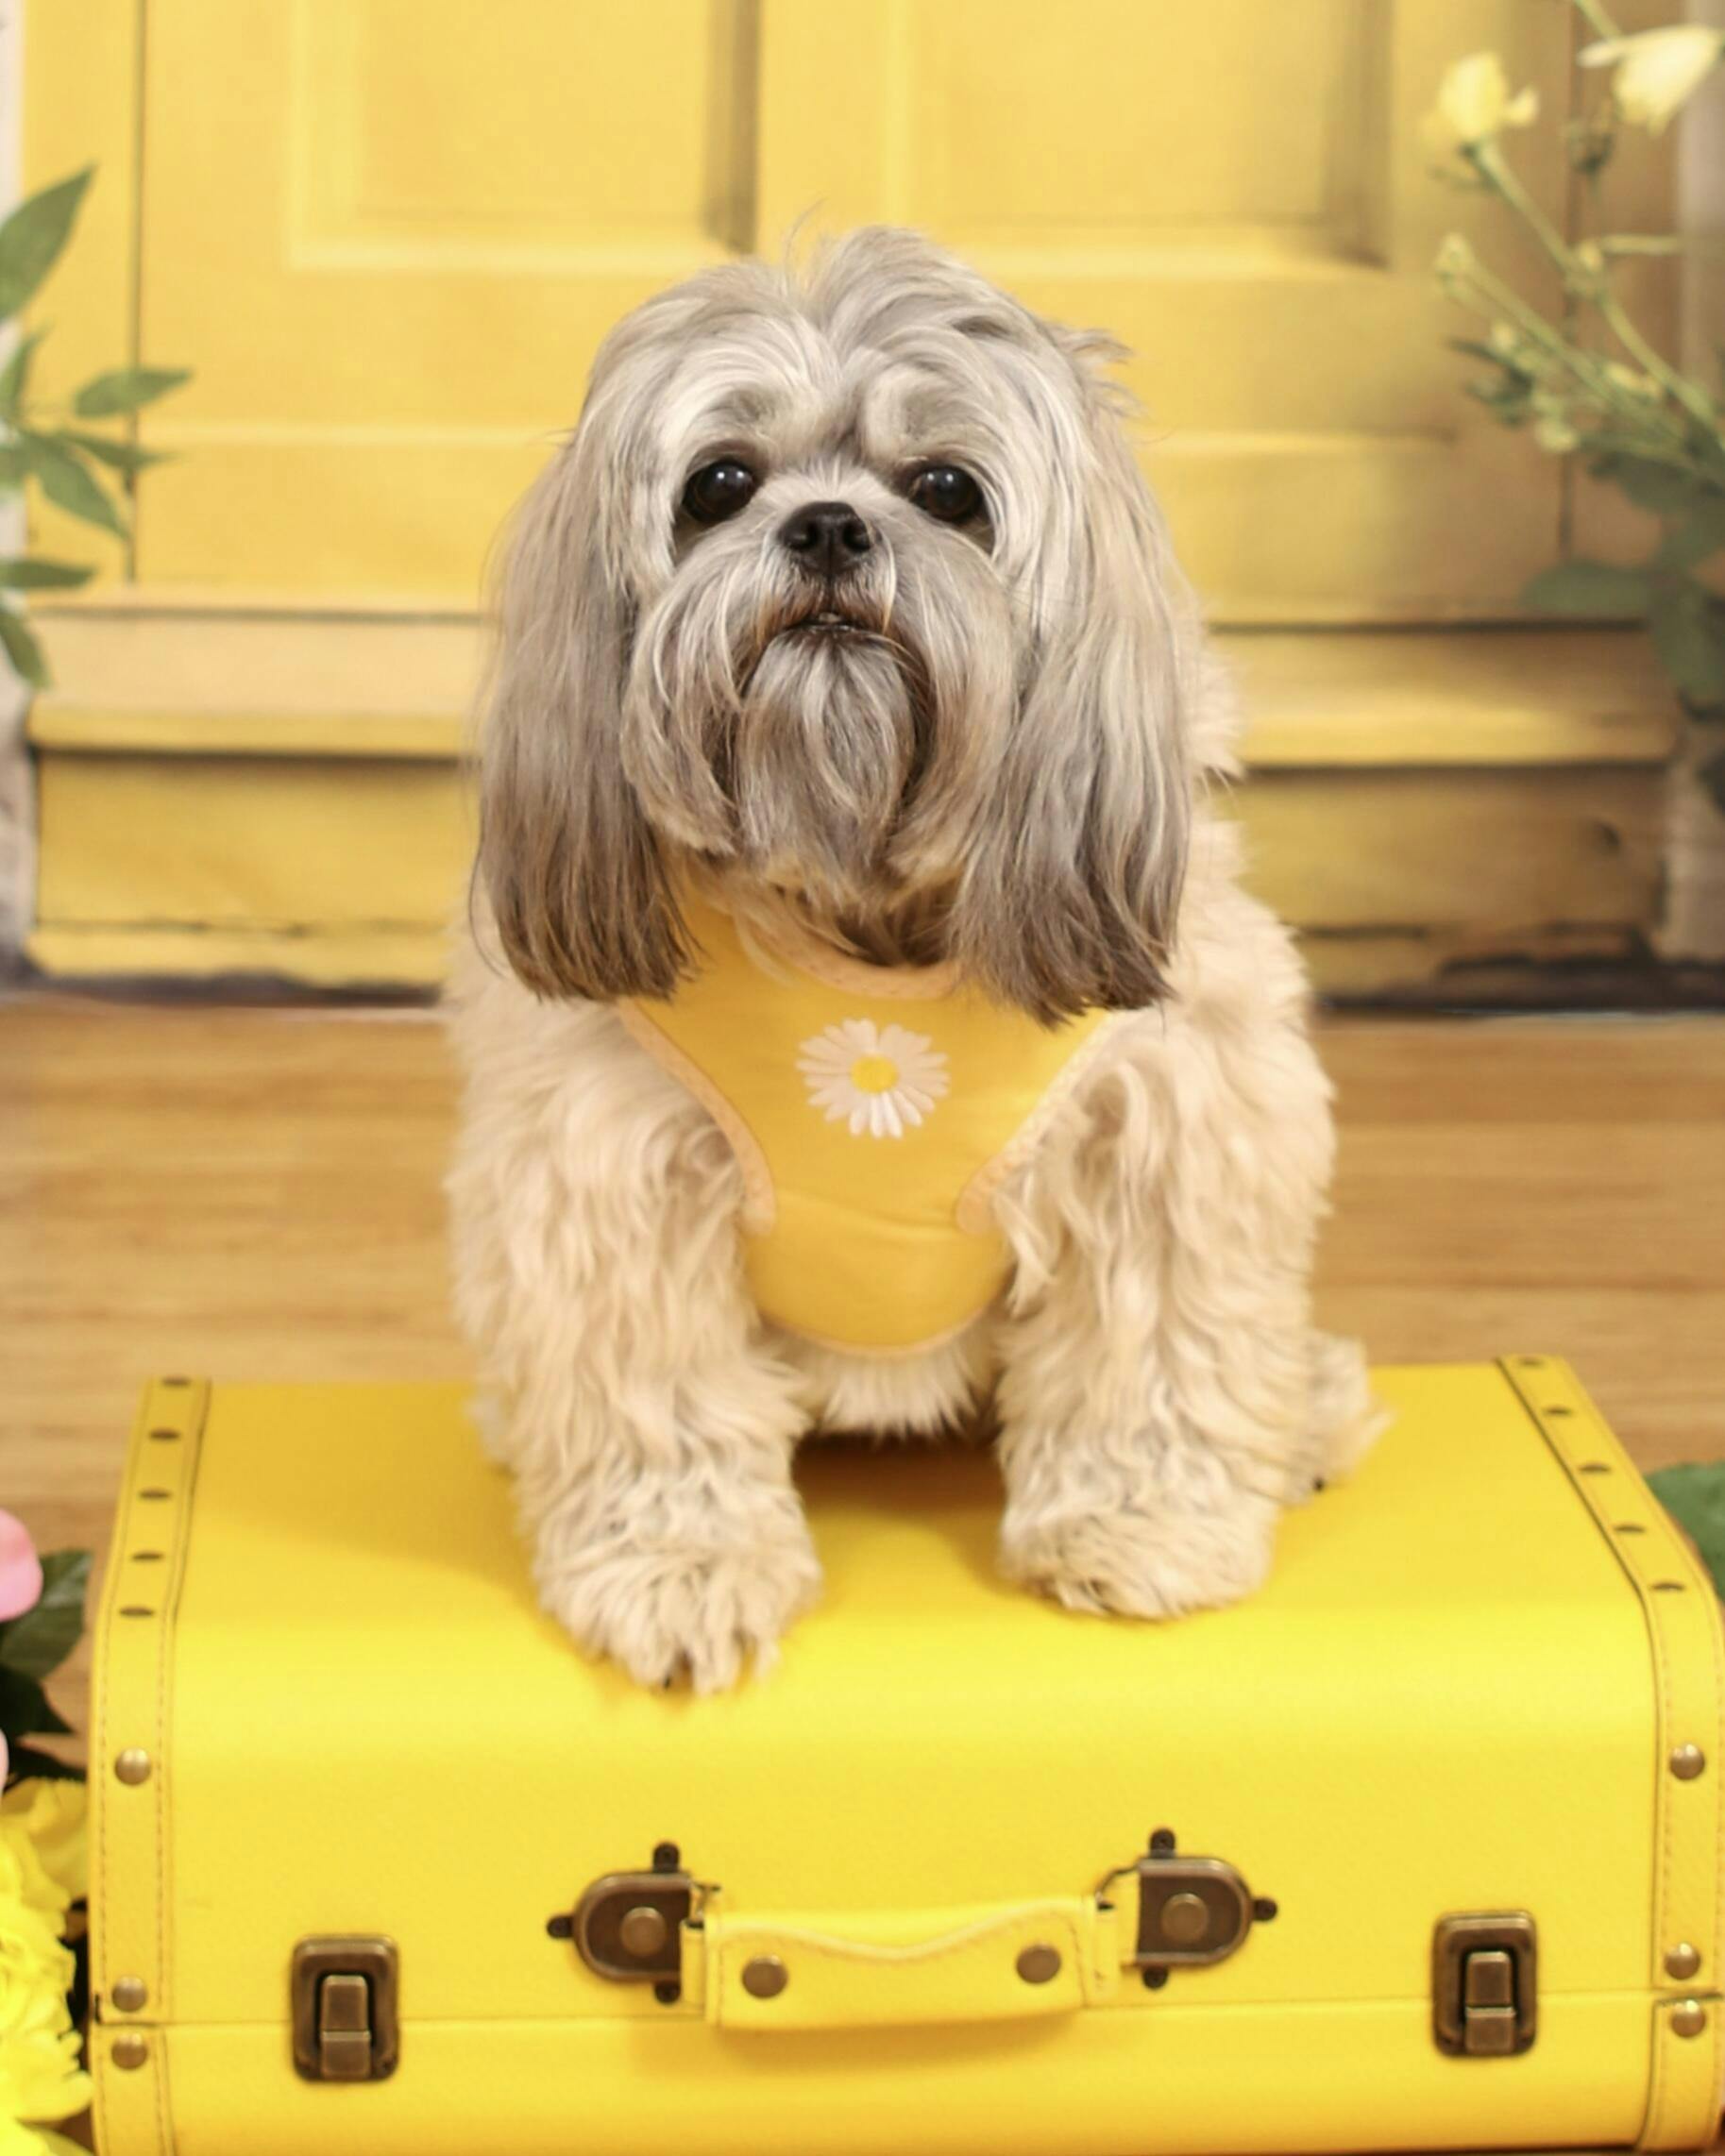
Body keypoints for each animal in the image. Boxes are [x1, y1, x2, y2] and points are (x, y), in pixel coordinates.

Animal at [448, 226, 1380, 1692]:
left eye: (946, 490)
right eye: (719, 484)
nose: (828, 524)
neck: (861, 923)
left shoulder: (1168, 1138)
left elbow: (1152, 1356)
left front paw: (1138, 1525)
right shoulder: (609, 1180)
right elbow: (660, 1407)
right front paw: (681, 1566)